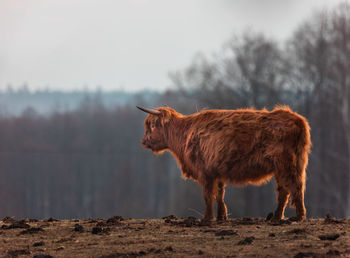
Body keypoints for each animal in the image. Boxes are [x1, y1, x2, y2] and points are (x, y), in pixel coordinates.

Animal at [137, 105, 312, 222]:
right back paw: (276, 217)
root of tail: (296, 118)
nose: (143, 141)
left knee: (294, 186)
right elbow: (219, 194)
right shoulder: (217, 171)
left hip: (285, 164)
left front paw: (207, 218)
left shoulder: (205, 172)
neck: (185, 134)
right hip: (289, 165)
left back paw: (298, 216)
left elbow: (208, 195)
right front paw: (222, 217)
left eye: (151, 126)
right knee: (285, 190)